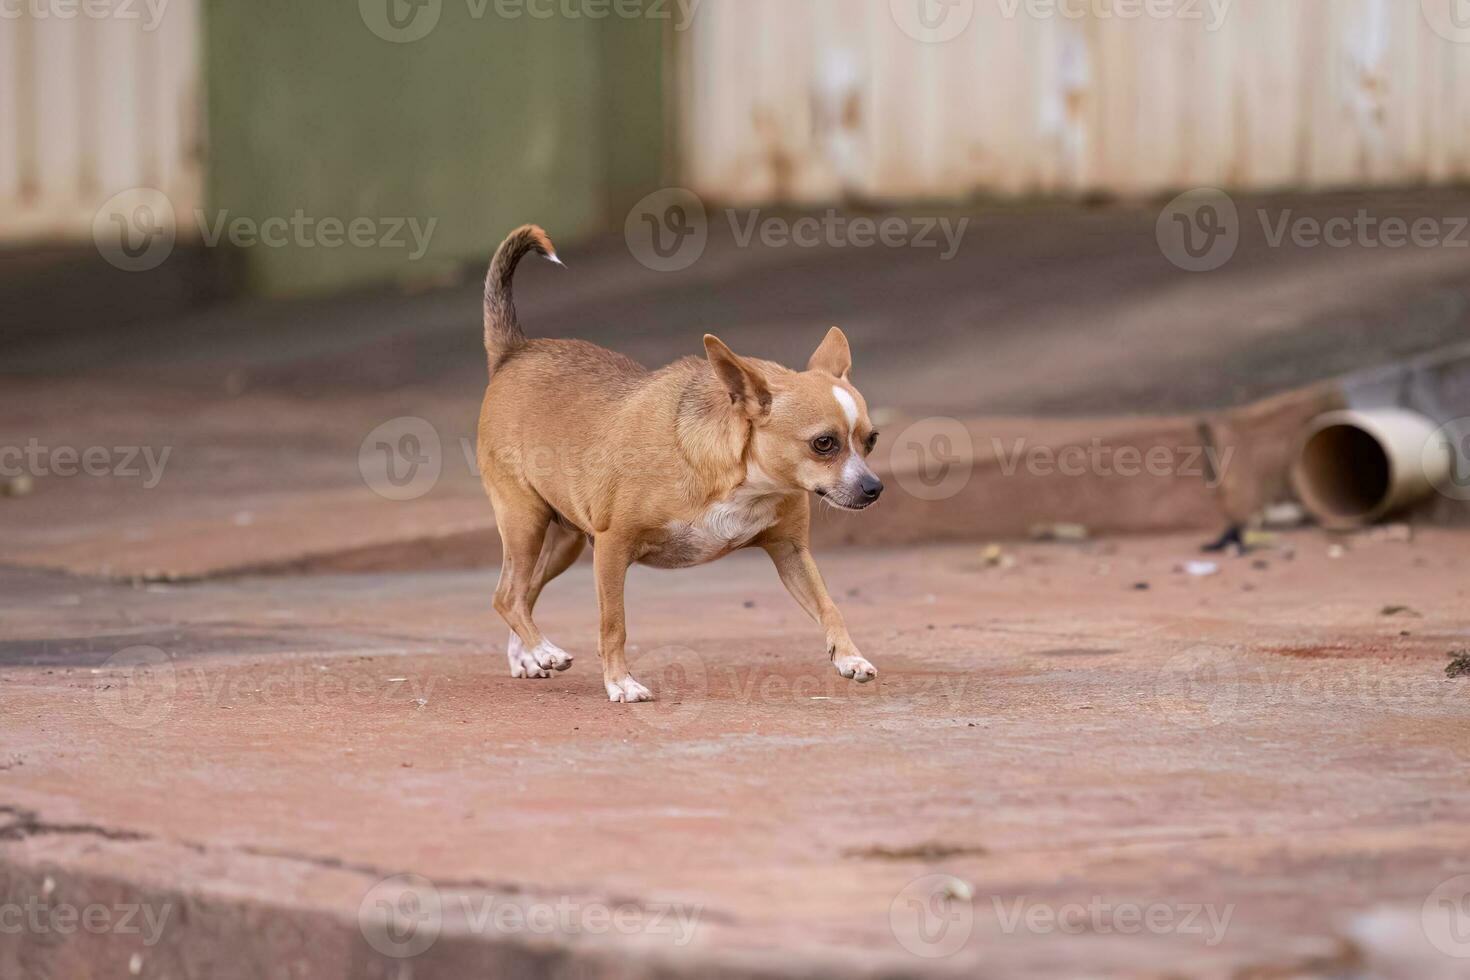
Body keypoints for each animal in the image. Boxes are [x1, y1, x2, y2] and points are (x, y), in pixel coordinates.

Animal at [476, 226, 876, 702]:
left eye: (870, 441)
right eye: (824, 444)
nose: (874, 488)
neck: (739, 480)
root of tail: (515, 350)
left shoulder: (790, 551)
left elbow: (829, 606)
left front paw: (849, 657)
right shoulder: (611, 548)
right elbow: (614, 625)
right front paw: (621, 683)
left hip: (563, 541)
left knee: (523, 592)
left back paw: (527, 656)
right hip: (526, 522)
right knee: (505, 596)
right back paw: (543, 651)